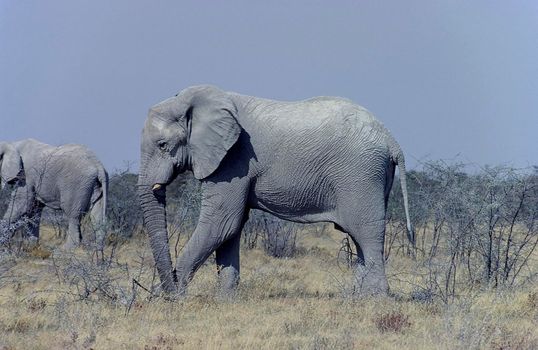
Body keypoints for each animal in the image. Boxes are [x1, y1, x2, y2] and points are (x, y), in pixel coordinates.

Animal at [137, 85, 410, 296]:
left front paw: (171, 298)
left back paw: (374, 299)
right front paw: (225, 299)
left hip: (359, 174)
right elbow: (230, 229)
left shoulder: (233, 160)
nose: (167, 289)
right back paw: (356, 297)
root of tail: (390, 139)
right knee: (358, 236)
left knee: (366, 233)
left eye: (163, 145)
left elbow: (222, 223)